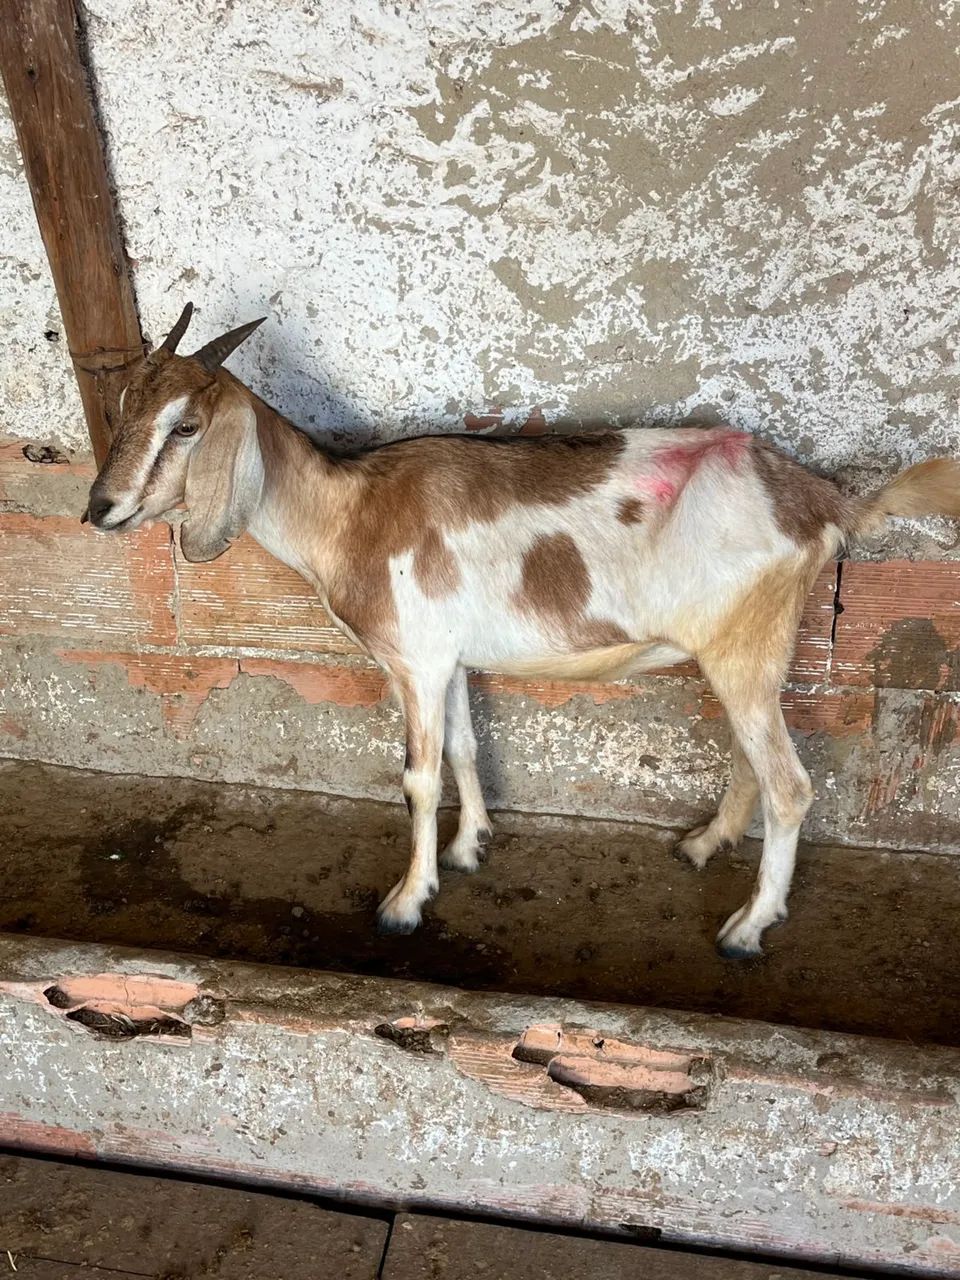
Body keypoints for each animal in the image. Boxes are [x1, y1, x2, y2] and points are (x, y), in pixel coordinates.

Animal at [83, 303, 960, 956]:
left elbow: (418, 777)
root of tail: (825, 500)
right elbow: (466, 748)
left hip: (748, 648)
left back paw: (746, 927)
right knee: (755, 759)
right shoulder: (448, 658)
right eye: (123, 406)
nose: (100, 509)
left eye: (187, 426)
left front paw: (407, 900)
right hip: (743, 654)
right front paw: (471, 847)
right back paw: (704, 844)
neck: (348, 509)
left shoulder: (415, 660)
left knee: (791, 786)